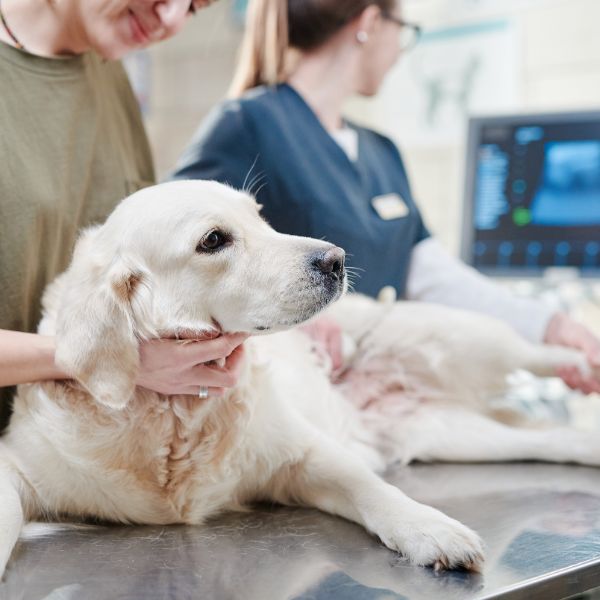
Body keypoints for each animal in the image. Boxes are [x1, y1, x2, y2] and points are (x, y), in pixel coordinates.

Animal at [1, 179, 600, 576]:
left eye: (260, 217)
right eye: (214, 240)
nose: (335, 258)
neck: (175, 415)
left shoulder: (302, 454)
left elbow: (372, 488)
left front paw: (430, 528)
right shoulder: (19, 467)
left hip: (464, 337)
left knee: (532, 350)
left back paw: (577, 359)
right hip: (452, 434)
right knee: (552, 439)